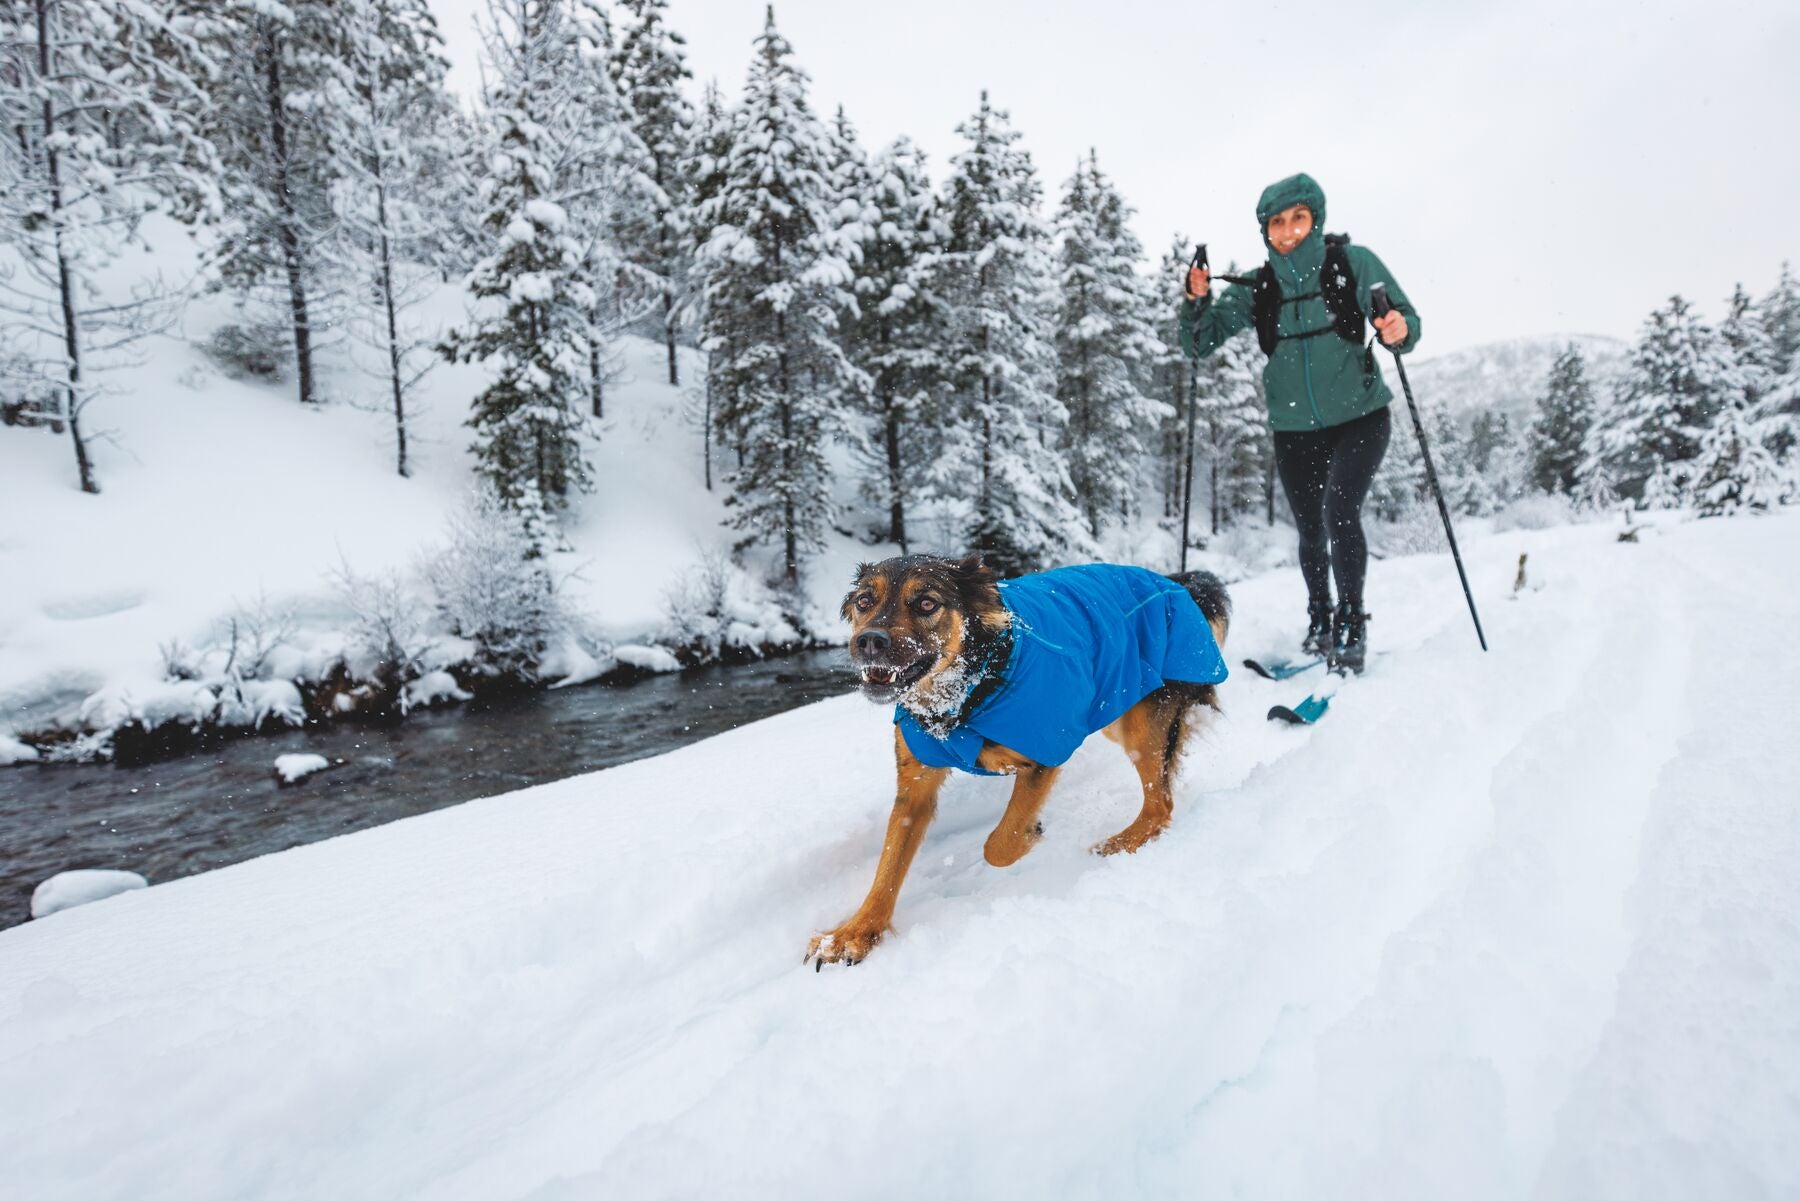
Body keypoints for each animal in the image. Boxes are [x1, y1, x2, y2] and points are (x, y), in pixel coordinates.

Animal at [810, 558, 1231, 972]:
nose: (870, 641)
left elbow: (999, 844)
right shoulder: (916, 786)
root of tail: (1175, 581)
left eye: (927, 604)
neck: (968, 693)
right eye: (865, 601)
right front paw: (855, 933)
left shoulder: (1046, 750)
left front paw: (1031, 834)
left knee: (1161, 805)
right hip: (1115, 703)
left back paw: (1122, 843)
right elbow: (888, 867)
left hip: (1141, 725)